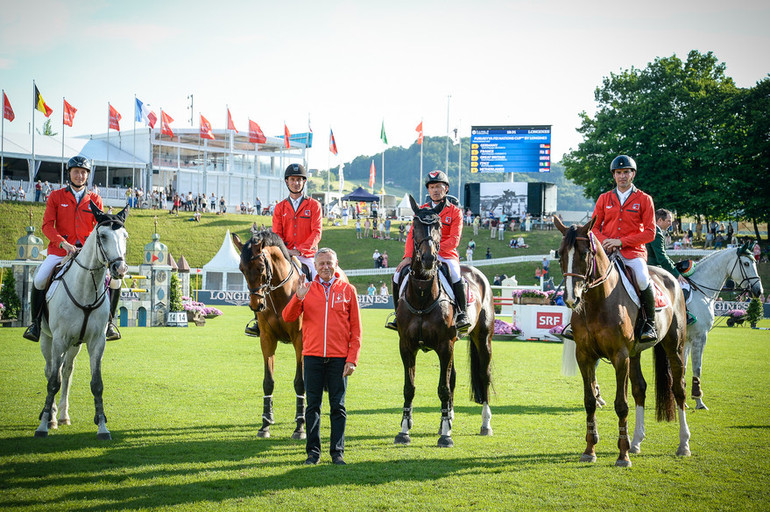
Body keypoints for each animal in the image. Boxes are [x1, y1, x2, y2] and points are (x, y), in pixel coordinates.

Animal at [35, 203, 129, 440]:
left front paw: (102, 427)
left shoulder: (96, 342)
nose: (120, 269)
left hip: (74, 345)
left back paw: (62, 416)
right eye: (103, 235)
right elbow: (53, 382)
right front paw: (42, 427)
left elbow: (97, 384)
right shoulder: (59, 339)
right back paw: (50, 416)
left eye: (125, 236)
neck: (86, 288)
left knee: (67, 371)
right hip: (48, 340)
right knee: (51, 370)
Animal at [232, 228, 304, 440]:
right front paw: (265, 424)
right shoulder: (267, 339)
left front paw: (300, 426)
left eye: (261, 267)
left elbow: (300, 382)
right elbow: (268, 381)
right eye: (241, 269)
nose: (256, 305)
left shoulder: (300, 340)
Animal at [392, 196, 496, 448]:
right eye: (414, 226)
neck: (422, 295)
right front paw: (404, 430)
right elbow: (409, 388)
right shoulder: (407, 346)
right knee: (454, 377)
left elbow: (443, 388)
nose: (429, 259)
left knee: (484, 376)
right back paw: (446, 419)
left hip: (482, 339)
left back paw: (485, 424)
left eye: (439, 225)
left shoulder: (444, 346)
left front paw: (446, 436)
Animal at [552, 217, 688, 468]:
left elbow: (621, 404)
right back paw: (636, 442)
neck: (598, 301)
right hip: (635, 354)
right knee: (640, 389)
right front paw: (590, 450)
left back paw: (683, 444)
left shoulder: (620, 356)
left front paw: (622, 455)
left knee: (679, 389)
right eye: (560, 255)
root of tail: (671, 277)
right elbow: (589, 401)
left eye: (584, 254)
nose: (571, 298)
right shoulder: (584, 356)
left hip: (674, 348)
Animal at [680, 242, 760, 410]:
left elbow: (683, 367)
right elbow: (697, 367)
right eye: (746, 263)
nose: (759, 291)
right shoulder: (700, 337)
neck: (700, 292)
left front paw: (683, 401)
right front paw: (698, 400)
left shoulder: (687, 340)